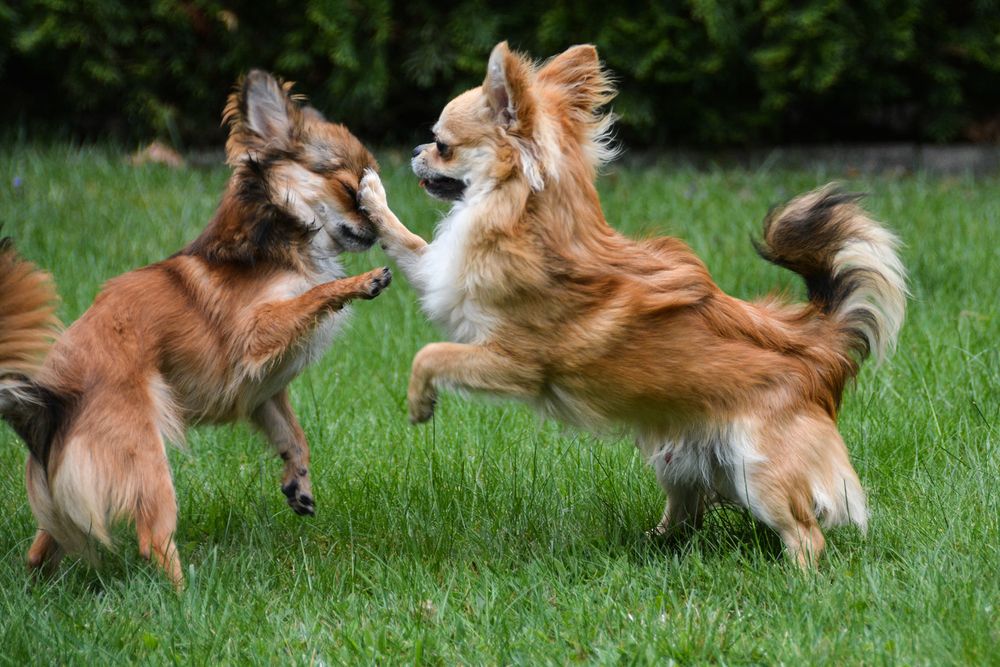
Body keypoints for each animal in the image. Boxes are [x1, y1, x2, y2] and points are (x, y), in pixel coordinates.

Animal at [0, 70, 390, 588]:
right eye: (352, 190)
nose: (378, 228)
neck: (284, 239)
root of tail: (48, 400)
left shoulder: (264, 393)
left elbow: (292, 435)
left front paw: (298, 480)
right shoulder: (255, 333)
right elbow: (313, 295)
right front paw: (358, 282)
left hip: (65, 500)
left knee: (44, 546)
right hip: (145, 460)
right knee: (154, 539)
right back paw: (184, 595)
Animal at [360, 41, 908, 568]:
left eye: (443, 145)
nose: (415, 149)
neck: (523, 219)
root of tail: (817, 349)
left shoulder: (513, 363)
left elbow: (430, 354)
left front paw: (420, 401)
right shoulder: (442, 274)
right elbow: (411, 246)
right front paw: (372, 196)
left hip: (759, 468)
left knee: (806, 534)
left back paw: (793, 577)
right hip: (678, 453)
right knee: (689, 513)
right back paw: (649, 546)